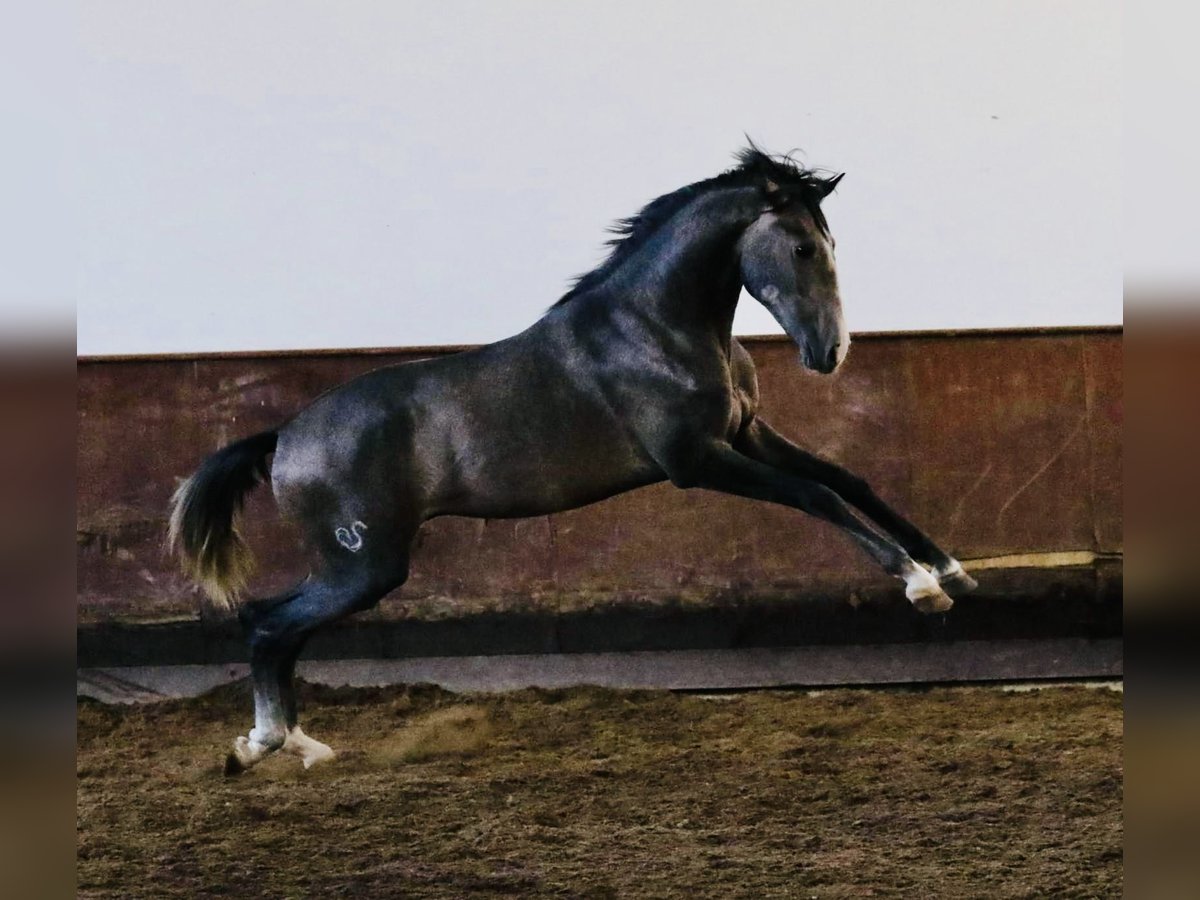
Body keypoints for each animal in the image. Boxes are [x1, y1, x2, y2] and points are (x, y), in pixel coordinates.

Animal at [169, 142, 974, 777]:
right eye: (803, 247)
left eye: (833, 246)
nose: (830, 353)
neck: (657, 330)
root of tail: (284, 437)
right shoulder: (698, 459)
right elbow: (818, 497)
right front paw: (917, 585)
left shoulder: (748, 434)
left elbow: (847, 478)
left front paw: (949, 568)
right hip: (365, 564)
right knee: (269, 626)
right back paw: (264, 745)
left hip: (354, 569)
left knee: (278, 627)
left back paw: (296, 745)